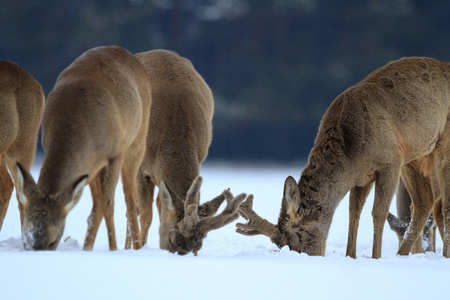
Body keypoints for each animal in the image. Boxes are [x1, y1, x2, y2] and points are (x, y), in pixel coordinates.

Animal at [14, 45, 152, 251]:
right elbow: (98, 209)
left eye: (53, 240)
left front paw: (113, 249)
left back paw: (136, 247)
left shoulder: (114, 153)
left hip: (136, 142)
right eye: (25, 238)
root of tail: (125, 52)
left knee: (131, 203)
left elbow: (109, 204)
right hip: (92, 166)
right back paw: (88, 247)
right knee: (97, 208)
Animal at [132, 49, 246, 255]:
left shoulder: (200, 157)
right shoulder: (141, 165)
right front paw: (138, 248)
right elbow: (144, 215)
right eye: (171, 240)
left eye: (197, 247)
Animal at [236, 57, 450, 258]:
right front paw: (350, 255)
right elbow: (353, 212)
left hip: (440, 147)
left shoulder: (390, 161)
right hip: (417, 155)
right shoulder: (361, 177)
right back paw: (402, 255)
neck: (349, 153)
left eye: (294, 237)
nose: (307, 256)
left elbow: (378, 213)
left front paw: (375, 257)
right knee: (424, 202)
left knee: (443, 205)